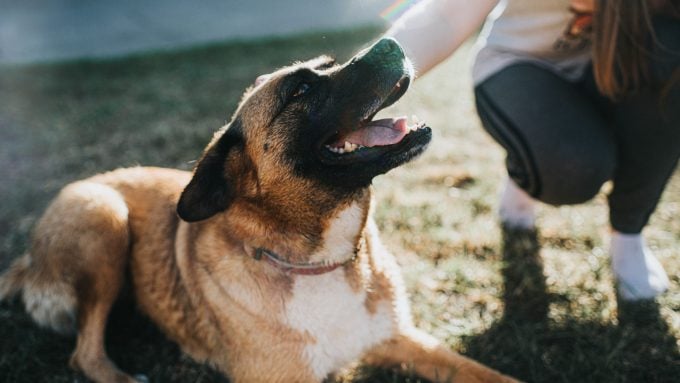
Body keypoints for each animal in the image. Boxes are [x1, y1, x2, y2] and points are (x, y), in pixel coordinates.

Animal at [0, 36, 516, 383]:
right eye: (300, 91)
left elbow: (487, 373)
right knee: (84, 353)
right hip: (105, 216)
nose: (389, 41)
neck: (321, 260)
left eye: (329, 66)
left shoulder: (400, 339)